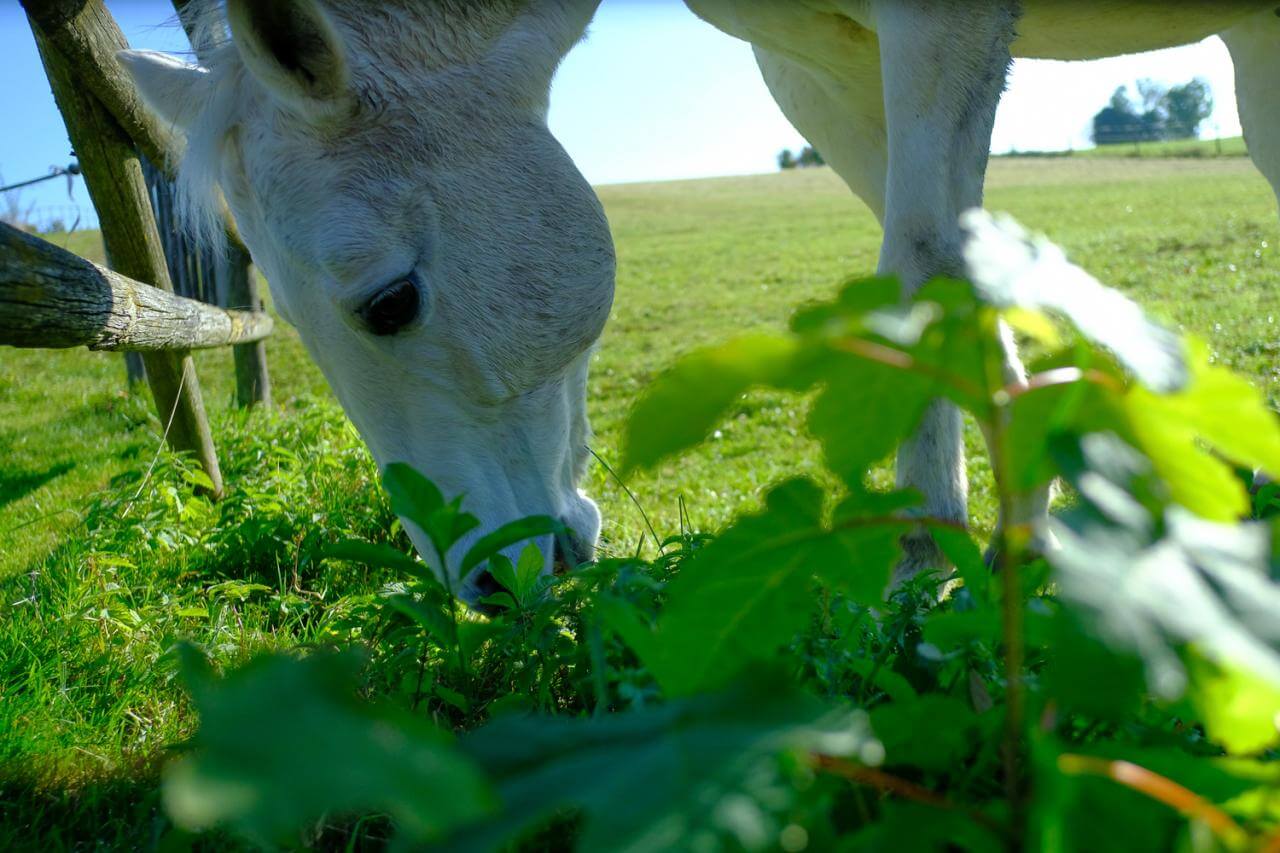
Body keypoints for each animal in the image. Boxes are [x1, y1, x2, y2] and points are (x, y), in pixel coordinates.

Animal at [115, 0, 1274, 596]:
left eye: (391, 300)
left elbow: (920, 260)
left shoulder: (938, 24)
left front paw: (916, 557)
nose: (478, 587)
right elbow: (955, 261)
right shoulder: (816, 61)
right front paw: (1013, 533)